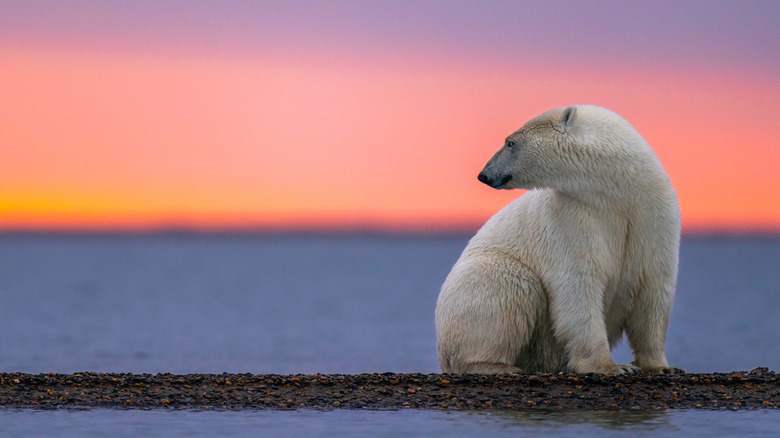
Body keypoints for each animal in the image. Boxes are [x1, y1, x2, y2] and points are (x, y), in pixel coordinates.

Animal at [436, 107, 684, 376]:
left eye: (510, 143)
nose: (484, 174)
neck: (618, 193)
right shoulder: (570, 217)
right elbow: (578, 285)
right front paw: (610, 367)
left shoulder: (652, 215)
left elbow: (653, 289)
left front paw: (662, 366)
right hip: (480, 280)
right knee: (509, 284)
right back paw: (495, 365)